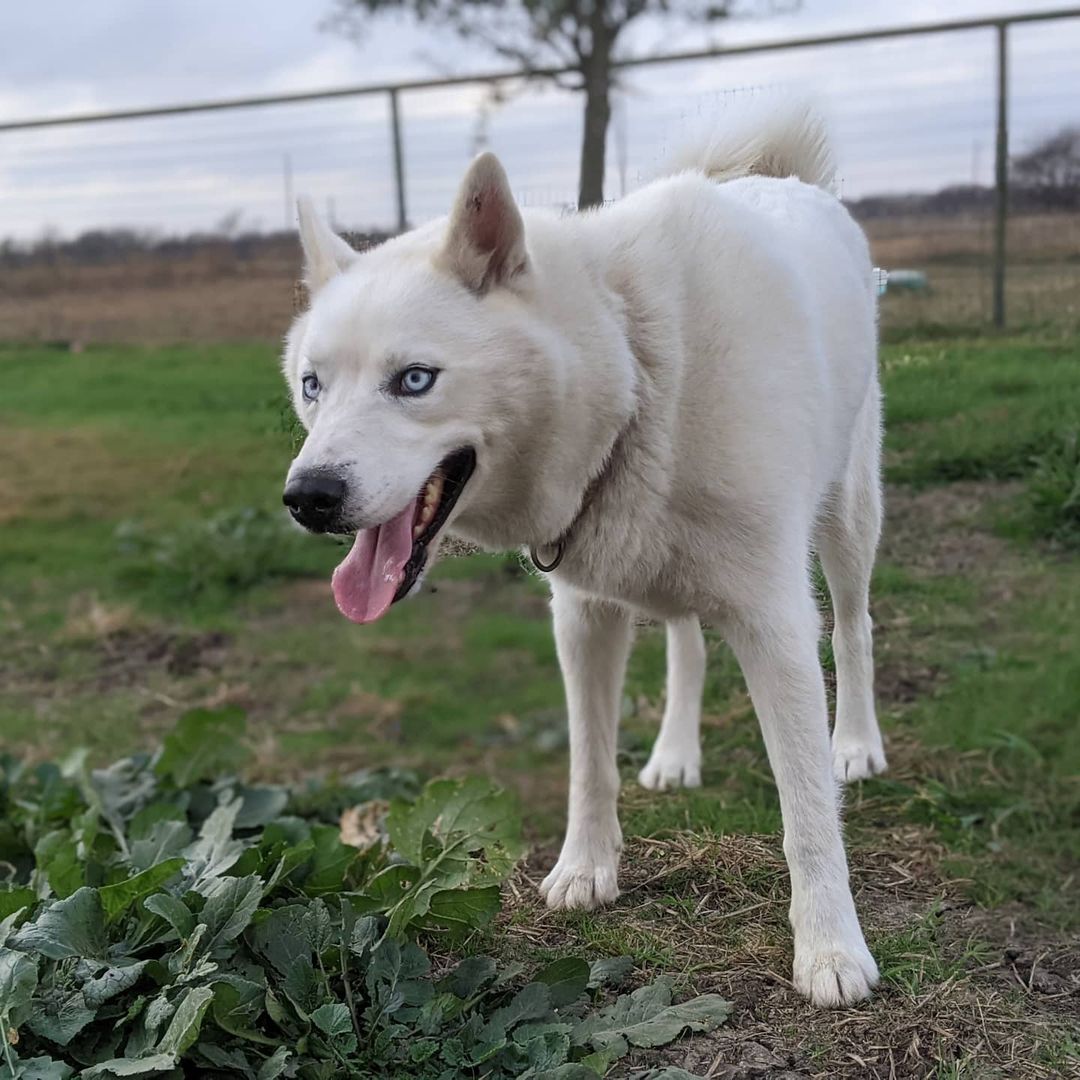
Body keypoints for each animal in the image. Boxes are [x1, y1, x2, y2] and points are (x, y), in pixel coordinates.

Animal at [285, 105, 885, 1006]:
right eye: (312, 385)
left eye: (415, 379)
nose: (308, 497)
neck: (639, 363)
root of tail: (781, 179)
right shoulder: (584, 615)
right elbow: (588, 761)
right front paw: (586, 869)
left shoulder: (775, 621)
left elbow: (806, 811)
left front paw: (830, 950)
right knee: (686, 643)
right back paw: (674, 755)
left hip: (848, 521)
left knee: (854, 630)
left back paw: (857, 745)